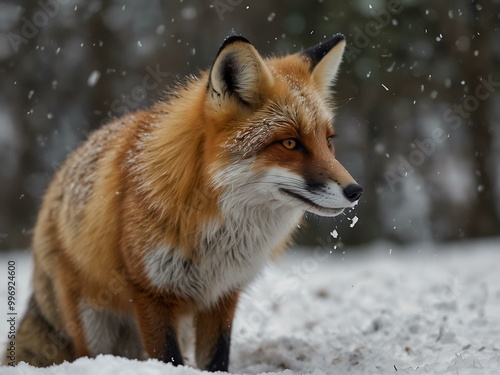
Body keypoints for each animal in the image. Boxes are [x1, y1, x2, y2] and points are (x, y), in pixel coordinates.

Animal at [5, 33, 362, 372]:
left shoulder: (222, 295)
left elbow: (216, 359)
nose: (355, 190)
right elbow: (168, 358)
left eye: (328, 141)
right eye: (290, 143)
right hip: (94, 324)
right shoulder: (151, 292)